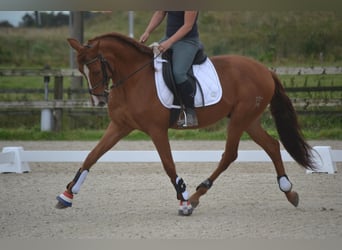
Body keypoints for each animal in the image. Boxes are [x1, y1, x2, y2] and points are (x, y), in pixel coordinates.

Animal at [56, 32, 316, 216]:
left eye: (96, 67)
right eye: (80, 69)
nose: (99, 100)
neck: (133, 79)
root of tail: (264, 70)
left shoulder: (157, 130)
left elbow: (169, 165)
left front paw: (183, 200)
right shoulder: (119, 126)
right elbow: (92, 155)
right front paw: (67, 194)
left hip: (241, 118)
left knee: (230, 154)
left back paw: (195, 197)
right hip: (248, 119)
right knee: (271, 145)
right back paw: (289, 191)